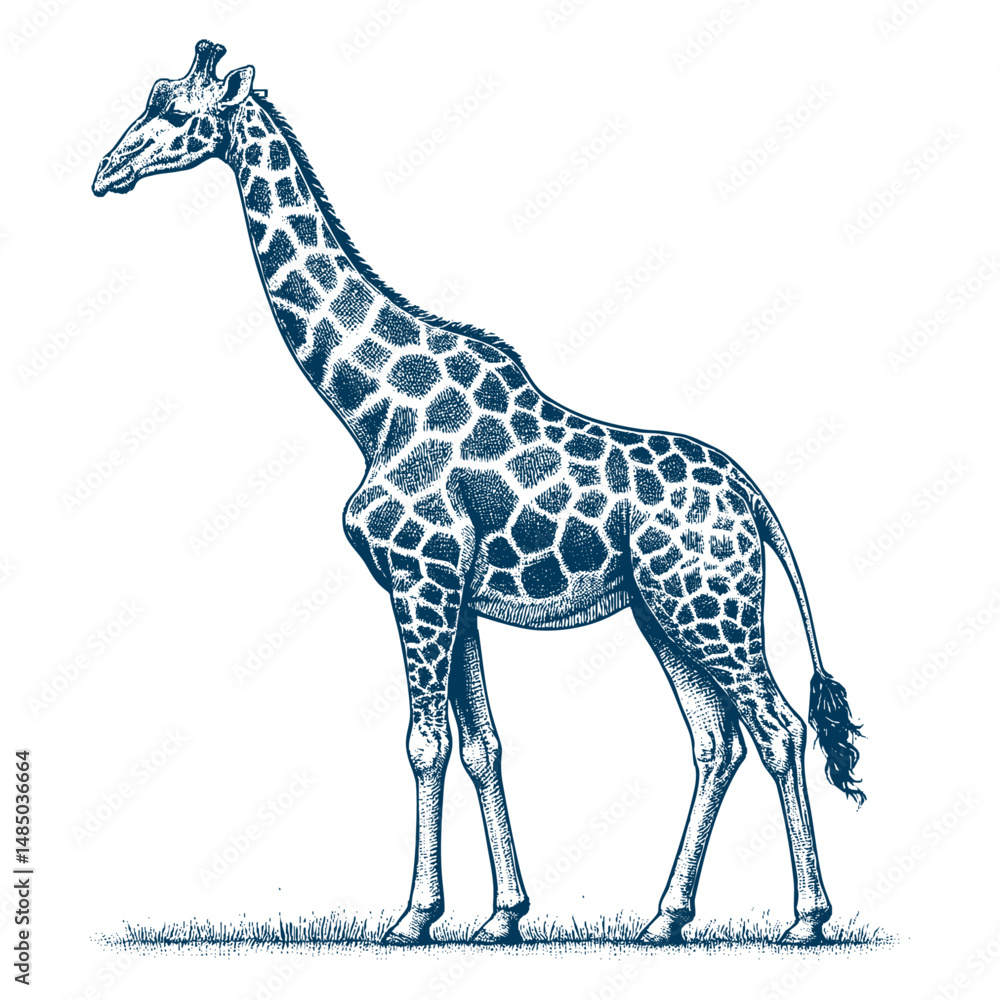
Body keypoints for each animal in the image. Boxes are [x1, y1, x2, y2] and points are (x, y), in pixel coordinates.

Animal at [93, 41, 864, 947]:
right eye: (151, 98)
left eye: (176, 112)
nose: (106, 171)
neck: (371, 407)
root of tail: (752, 497)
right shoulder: (448, 589)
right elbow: (480, 744)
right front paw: (502, 914)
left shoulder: (419, 579)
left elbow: (424, 742)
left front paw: (412, 916)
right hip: (667, 614)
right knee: (718, 743)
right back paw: (665, 917)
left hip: (713, 609)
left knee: (778, 729)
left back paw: (807, 918)